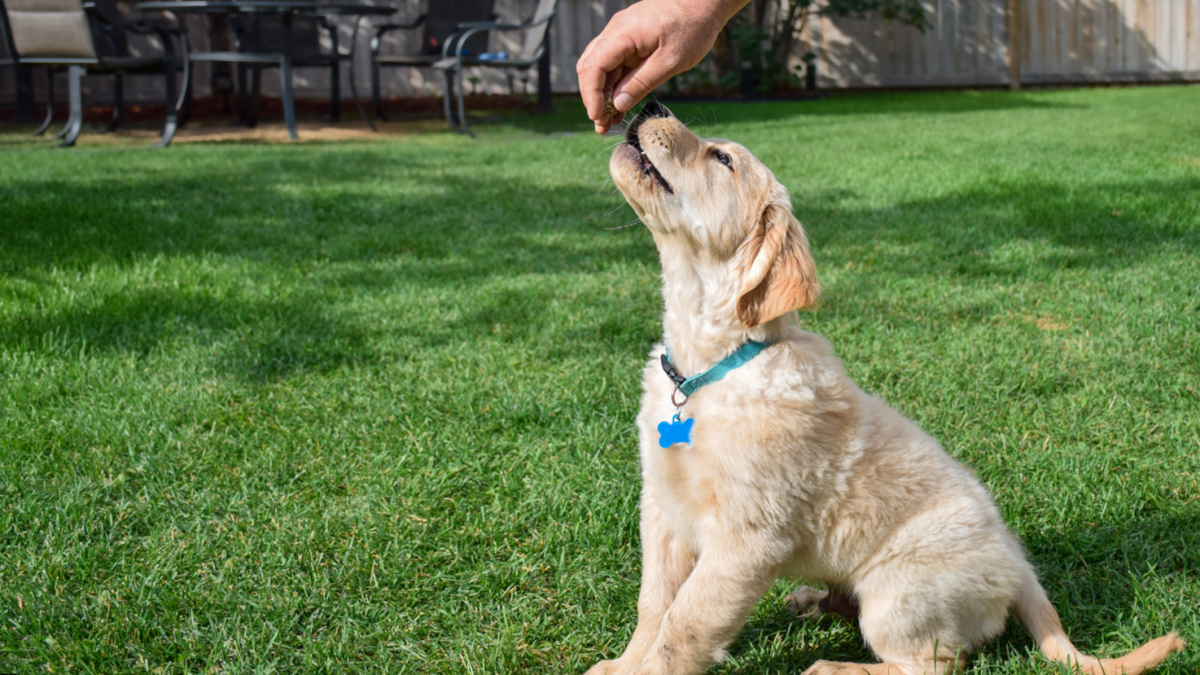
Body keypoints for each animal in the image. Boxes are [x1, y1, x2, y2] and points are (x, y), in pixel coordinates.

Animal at [590, 102, 1180, 672]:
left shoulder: (747, 537)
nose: (650, 104)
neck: (710, 366)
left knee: (934, 662)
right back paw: (811, 601)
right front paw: (624, 663)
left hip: (896, 594)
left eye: (722, 159)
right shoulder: (662, 507)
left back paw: (834, 668)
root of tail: (1020, 568)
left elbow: (685, 625)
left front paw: (646, 669)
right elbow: (655, 604)